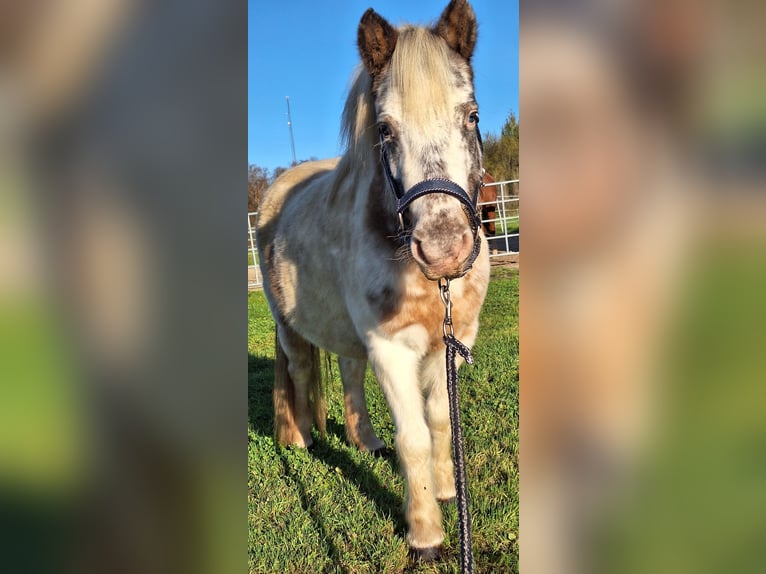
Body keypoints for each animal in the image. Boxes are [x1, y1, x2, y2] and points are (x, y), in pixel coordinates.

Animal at [255, 0, 488, 560]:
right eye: (385, 130)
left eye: (471, 115)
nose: (444, 249)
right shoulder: (392, 348)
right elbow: (414, 437)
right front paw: (426, 535)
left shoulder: (450, 343)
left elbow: (440, 421)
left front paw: (447, 491)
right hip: (289, 328)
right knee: (300, 373)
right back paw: (304, 440)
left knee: (349, 373)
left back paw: (366, 442)